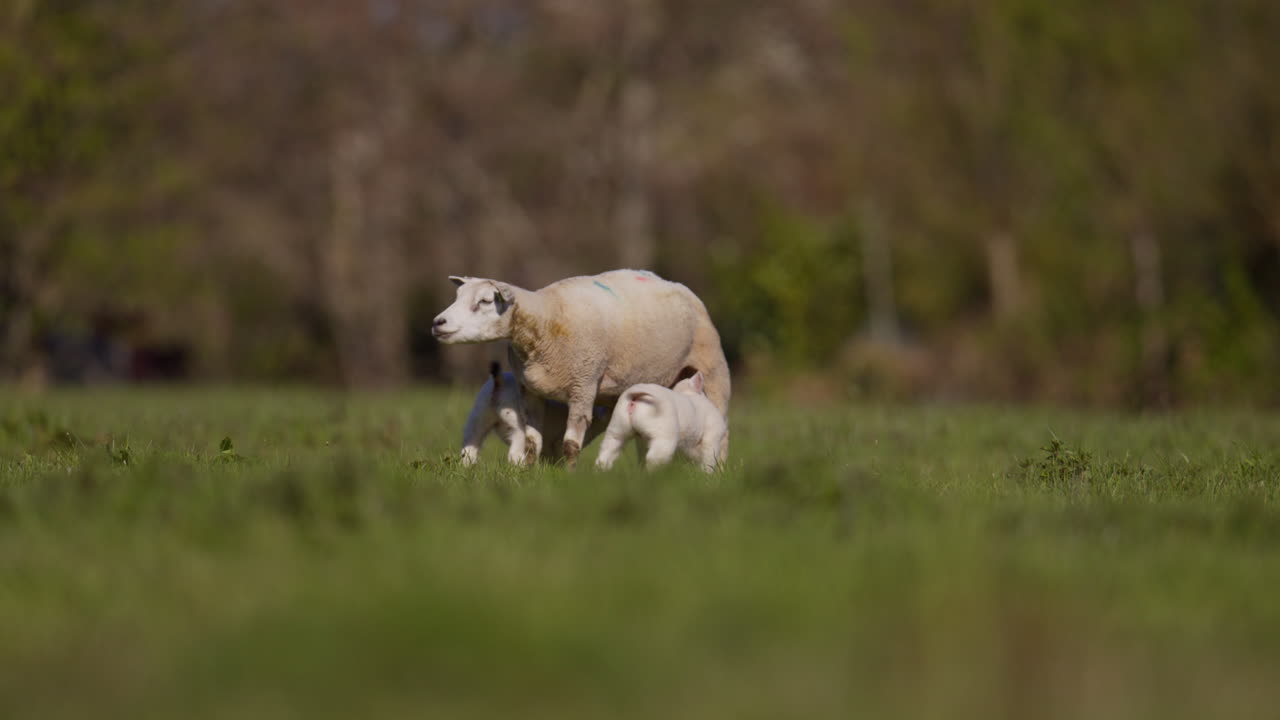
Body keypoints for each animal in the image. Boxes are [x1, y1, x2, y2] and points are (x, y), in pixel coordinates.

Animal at [461, 362, 610, 466]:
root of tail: (500, 381)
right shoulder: (557, 442)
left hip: (478, 418)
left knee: (469, 448)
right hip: (517, 426)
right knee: (515, 455)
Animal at [593, 371, 727, 473]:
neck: (688, 392)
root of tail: (635, 396)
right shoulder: (712, 438)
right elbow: (708, 461)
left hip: (617, 429)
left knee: (606, 455)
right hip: (664, 436)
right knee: (653, 459)